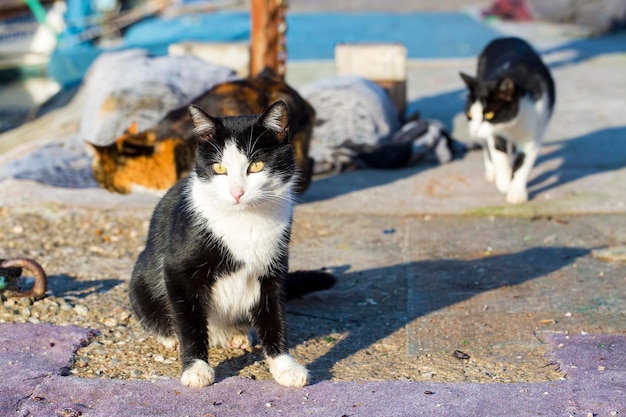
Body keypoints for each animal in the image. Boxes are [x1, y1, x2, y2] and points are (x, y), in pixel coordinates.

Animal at [126, 101, 332, 386]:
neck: (244, 219)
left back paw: (237, 333)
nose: (237, 192)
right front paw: (196, 367)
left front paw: (284, 366)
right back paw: (171, 337)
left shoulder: (273, 268)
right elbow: (188, 320)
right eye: (219, 169)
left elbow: (274, 316)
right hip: (141, 279)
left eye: (256, 166)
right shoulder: (178, 271)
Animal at [456, 37, 552, 203]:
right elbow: (499, 154)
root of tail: (504, 38)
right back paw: (492, 171)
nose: (474, 130)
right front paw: (504, 181)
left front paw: (516, 191)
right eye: (469, 115)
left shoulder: (534, 134)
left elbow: (523, 163)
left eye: (489, 115)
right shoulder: (495, 133)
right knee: (487, 146)